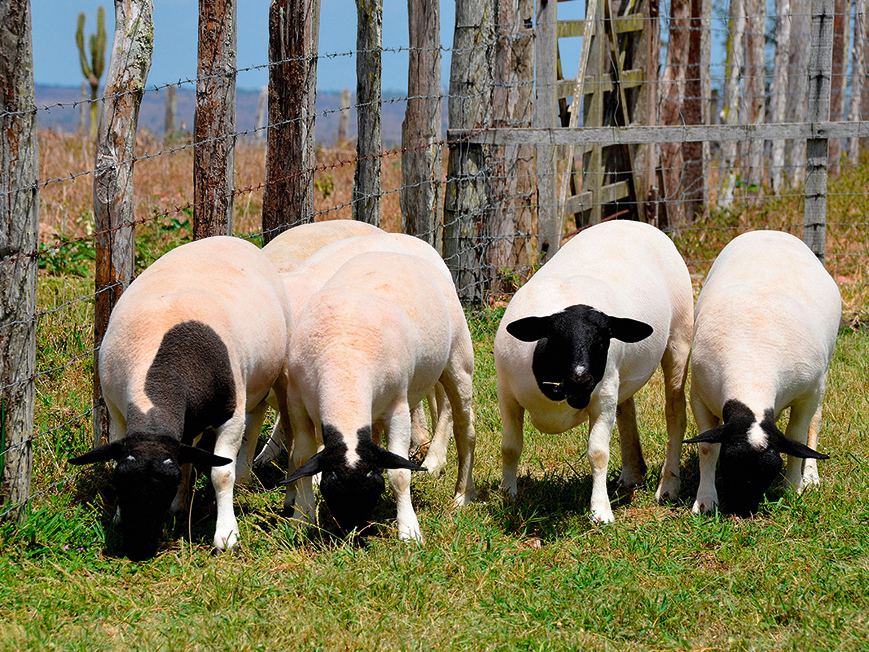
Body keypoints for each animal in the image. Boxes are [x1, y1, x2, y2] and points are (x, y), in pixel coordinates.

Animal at [68, 237, 292, 556]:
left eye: (166, 484)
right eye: (121, 483)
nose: (138, 549)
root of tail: (228, 238)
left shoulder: (230, 416)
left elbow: (221, 475)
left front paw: (226, 535)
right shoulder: (117, 414)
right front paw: (123, 516)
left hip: (267, 379)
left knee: (256, 418)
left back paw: (245, 473)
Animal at [282, 250, 474, 540]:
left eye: (375, 486)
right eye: (329, 488)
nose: (353, 533)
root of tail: (395, 253)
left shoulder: (398, 409)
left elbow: (400, 475)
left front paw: (409, 531)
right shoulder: (297, 404)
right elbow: (301, 460)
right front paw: (302, 519)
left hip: (459, 361)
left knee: (465, 431)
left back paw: (461, 496)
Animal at [496, 222, 692, 524]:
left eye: (602, 340)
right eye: (556, 340)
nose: (582, 379)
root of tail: (634, 223)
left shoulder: (602, 399)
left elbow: (598, 453)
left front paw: (600, 511)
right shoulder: (506, 395)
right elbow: (510, 447)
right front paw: (508, 494)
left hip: (679, 339)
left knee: (675, 414)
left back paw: (668, 485)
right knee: (627, 410)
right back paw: (632, 473)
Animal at [680, 229, 836, 516]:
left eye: (770, 471)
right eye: (729, 464)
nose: (742, 510)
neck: (752, 367)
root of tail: (771, 232)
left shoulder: (807, 394)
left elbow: (797, 437)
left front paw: (793, 487)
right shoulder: (699, 395)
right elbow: (707, 447)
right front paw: (705, 500)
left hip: (821, 379)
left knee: (815, 422)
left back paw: (810, 476)